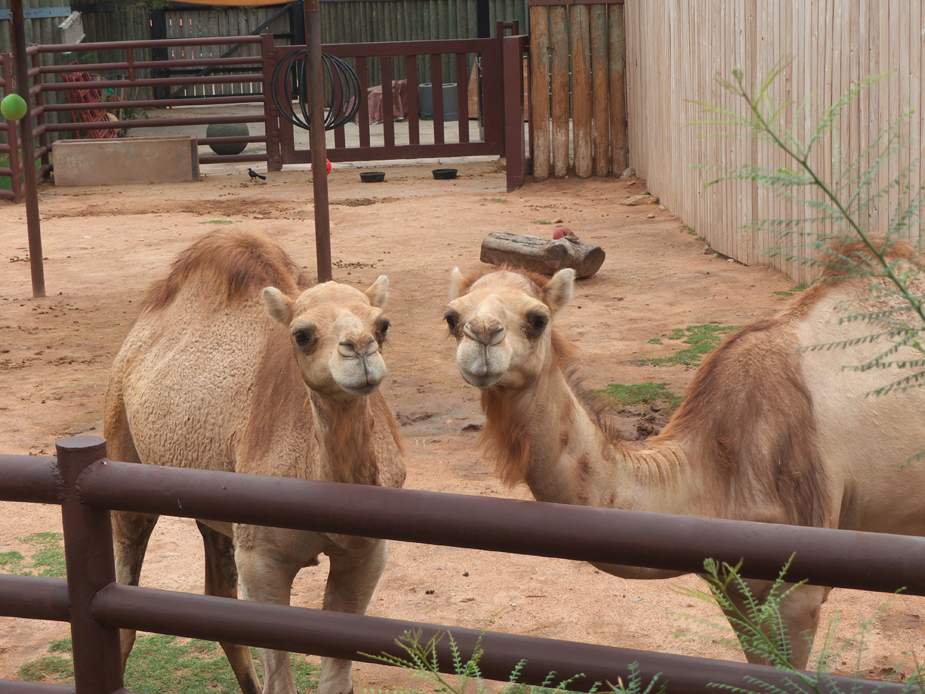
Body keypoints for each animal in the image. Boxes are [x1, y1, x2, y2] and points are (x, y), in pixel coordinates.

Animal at [104, 231, 404, 694]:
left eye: (382, 325)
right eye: (302, 334)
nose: (359, 350)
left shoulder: (366, 554)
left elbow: (336, 680)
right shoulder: (261, 559)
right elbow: (280, 681)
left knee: (220, 601)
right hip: (120, 435)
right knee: (125, 601)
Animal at [440, 242, 924, 672]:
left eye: (537, 319)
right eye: (452, 317)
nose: (482, 337)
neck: (710, 471)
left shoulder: (799, 590)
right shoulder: (732, 588)